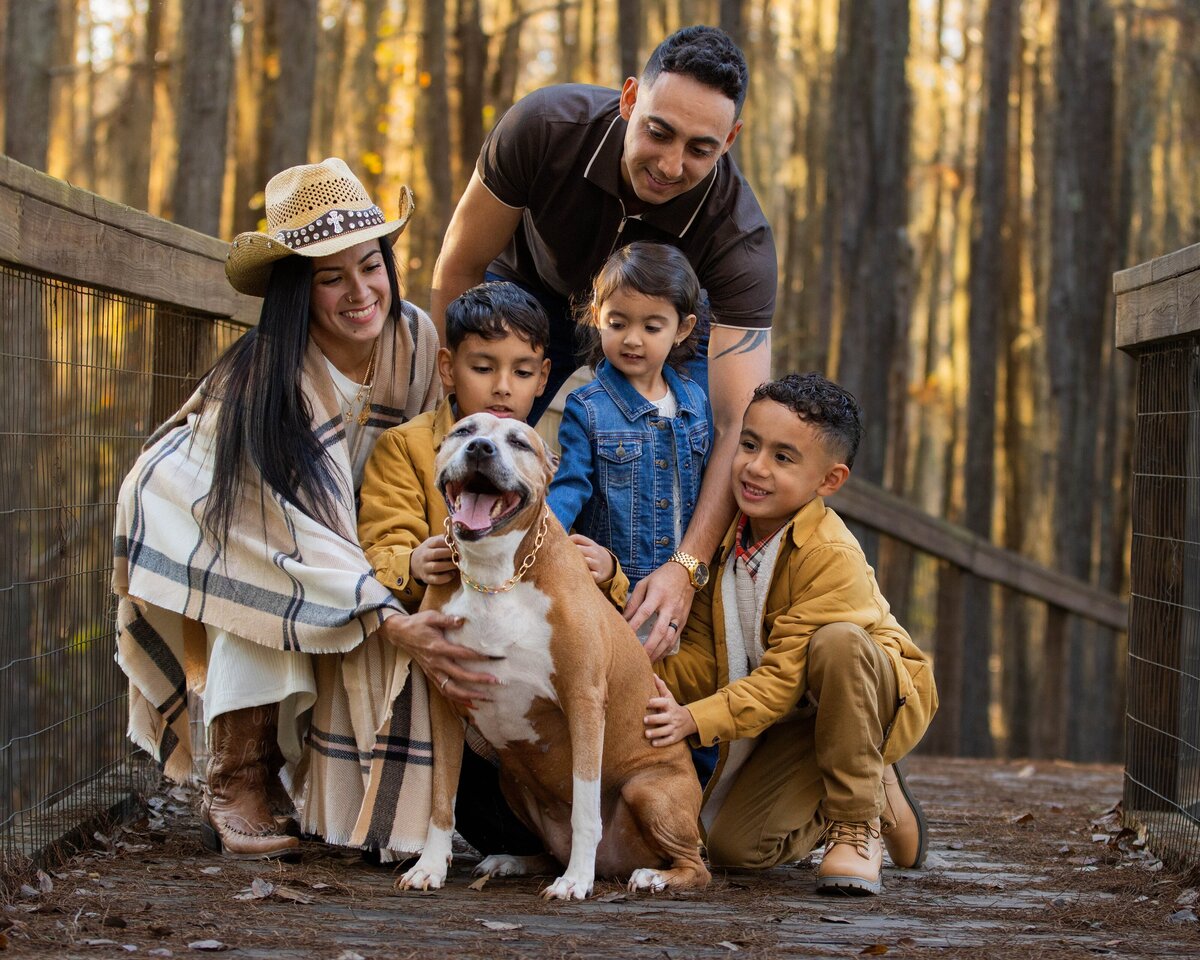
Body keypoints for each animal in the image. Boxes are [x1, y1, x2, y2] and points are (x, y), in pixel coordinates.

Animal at [398, 412, 705, 902]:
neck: (494, 575)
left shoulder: (583, 700)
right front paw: (429, 867)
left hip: (649, 791)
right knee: (548, 846)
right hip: (513, 781)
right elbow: (441, 795)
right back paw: (514, 861)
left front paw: (576, 881)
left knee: (698, 865)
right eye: (464, 431)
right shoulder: (445, 699)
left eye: (519, 442)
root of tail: (619, 864)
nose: (481, 448)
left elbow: (585, 809)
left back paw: (653, 876)